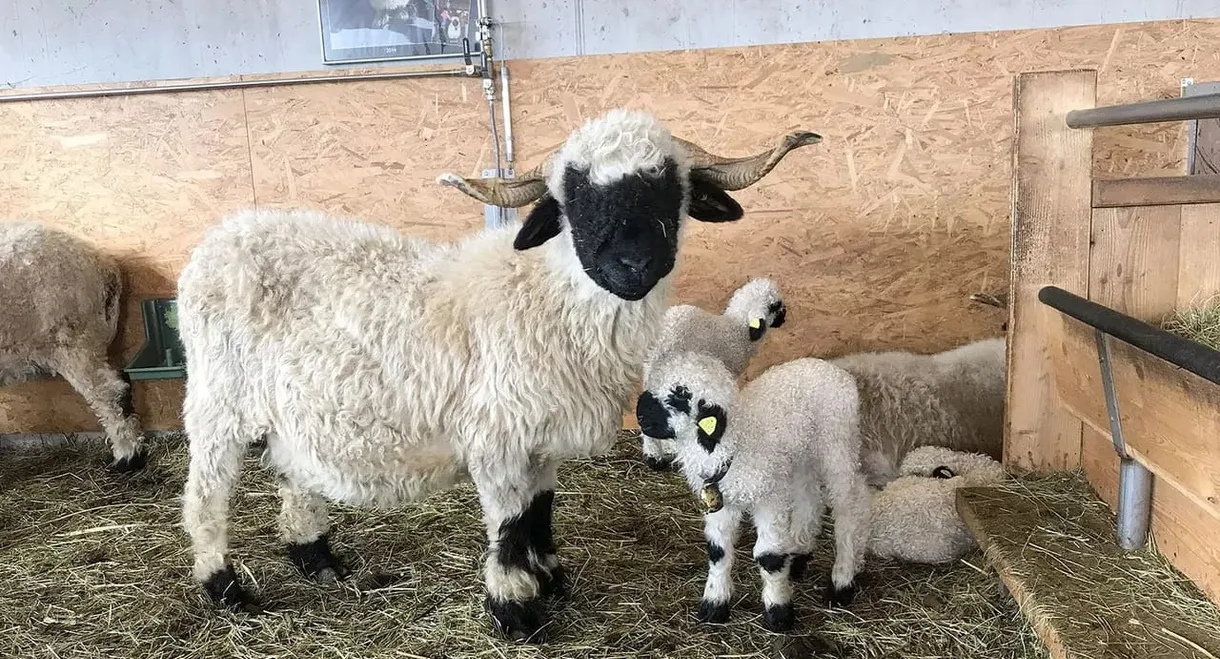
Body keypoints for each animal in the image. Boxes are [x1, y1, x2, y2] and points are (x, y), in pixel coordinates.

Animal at [634, 349, 873, 634]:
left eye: (681, 393)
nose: (639, 413)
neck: (736, 441)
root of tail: (832, 368)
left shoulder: (768, 498)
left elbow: (768, 557)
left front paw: (779, 612)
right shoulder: (722, 501)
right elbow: (718, 551)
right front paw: (714, 604)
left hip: (838, 445)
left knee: (849, 508)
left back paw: (842, 580)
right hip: (801, 456)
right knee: (809, 497)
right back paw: (799, 554)